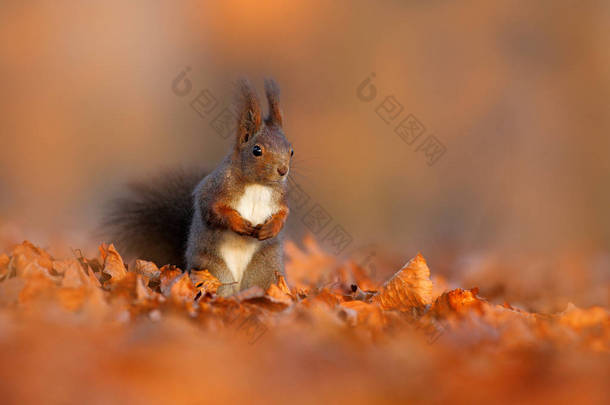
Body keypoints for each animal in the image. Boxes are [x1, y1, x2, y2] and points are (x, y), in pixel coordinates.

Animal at [103, 79, 294, 296]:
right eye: (257, 150)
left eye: (291, 151)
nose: (283, 170)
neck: (258, 185)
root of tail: (237, 288)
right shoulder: (215, 188)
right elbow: (213, 210)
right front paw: (239, 223)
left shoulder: (280, 197)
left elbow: (283, 214)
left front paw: (271, 228)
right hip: (213, 268)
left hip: (265, 269)